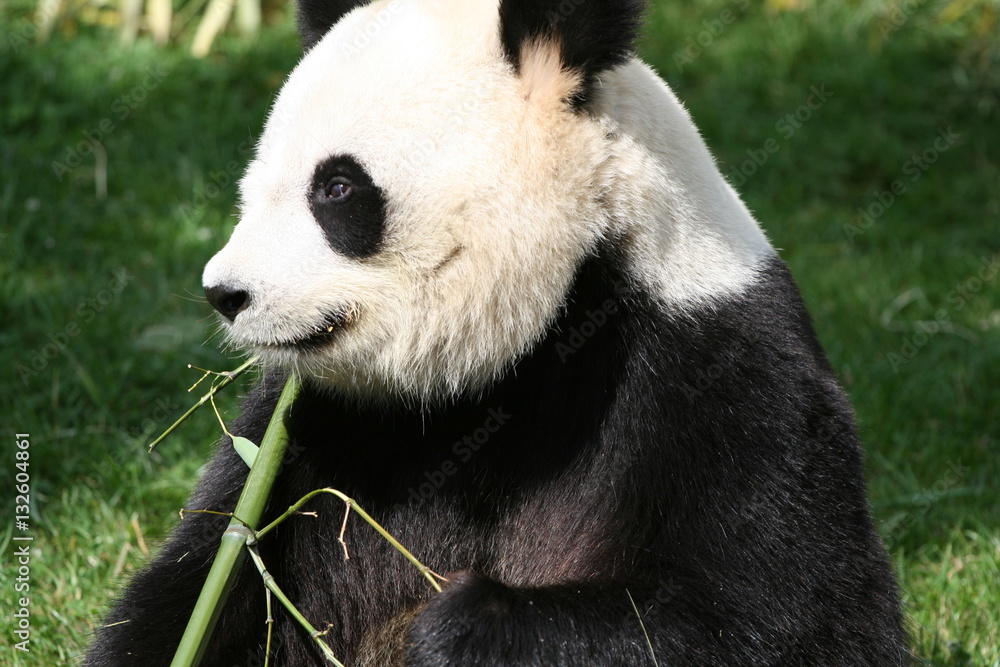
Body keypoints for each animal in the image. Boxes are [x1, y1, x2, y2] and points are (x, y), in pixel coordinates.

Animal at [85, 0, 910, 664]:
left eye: (338, 188)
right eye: (254, 187)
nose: (226, 293)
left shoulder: (723, 378)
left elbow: (792, 618)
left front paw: (454, 626)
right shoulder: (313, 432)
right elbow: (193, 589)